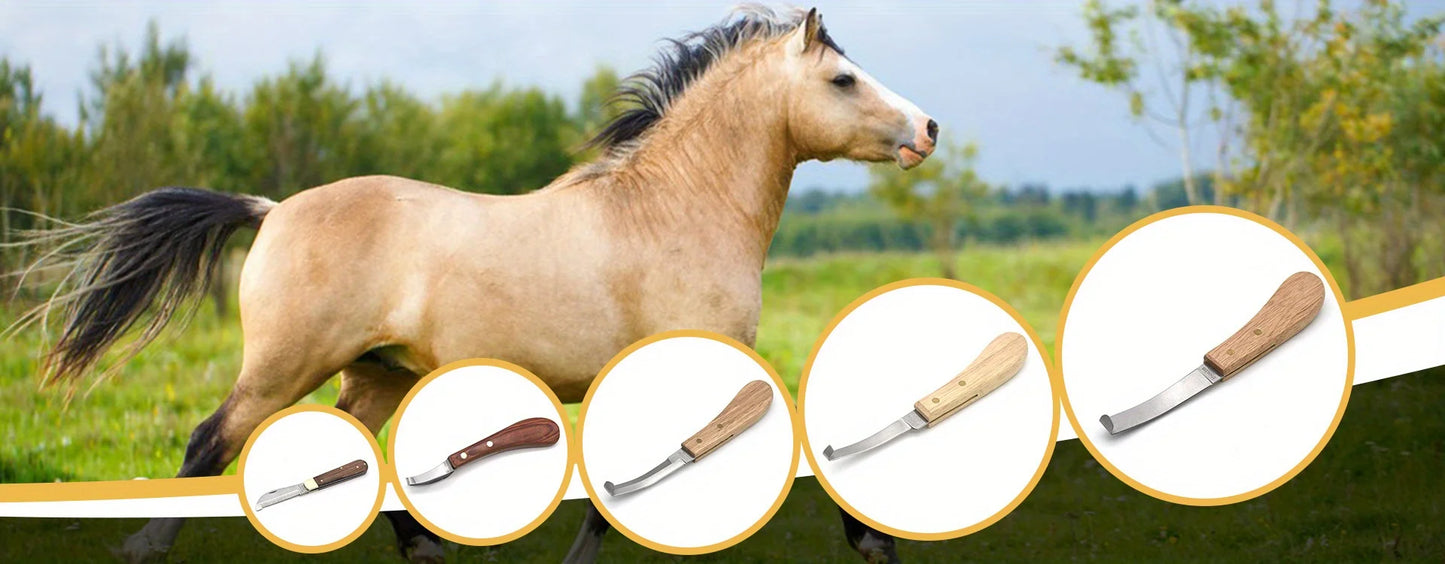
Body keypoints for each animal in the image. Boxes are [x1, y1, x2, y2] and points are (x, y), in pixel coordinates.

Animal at [12, 6, 935, 562]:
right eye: (842, 79)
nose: (926, 128)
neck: (670, 210)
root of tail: (271, 211)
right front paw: (873, 541)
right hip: (284, 366)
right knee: (210, 443)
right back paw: (146, 544)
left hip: (375, 376)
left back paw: (425, 546)